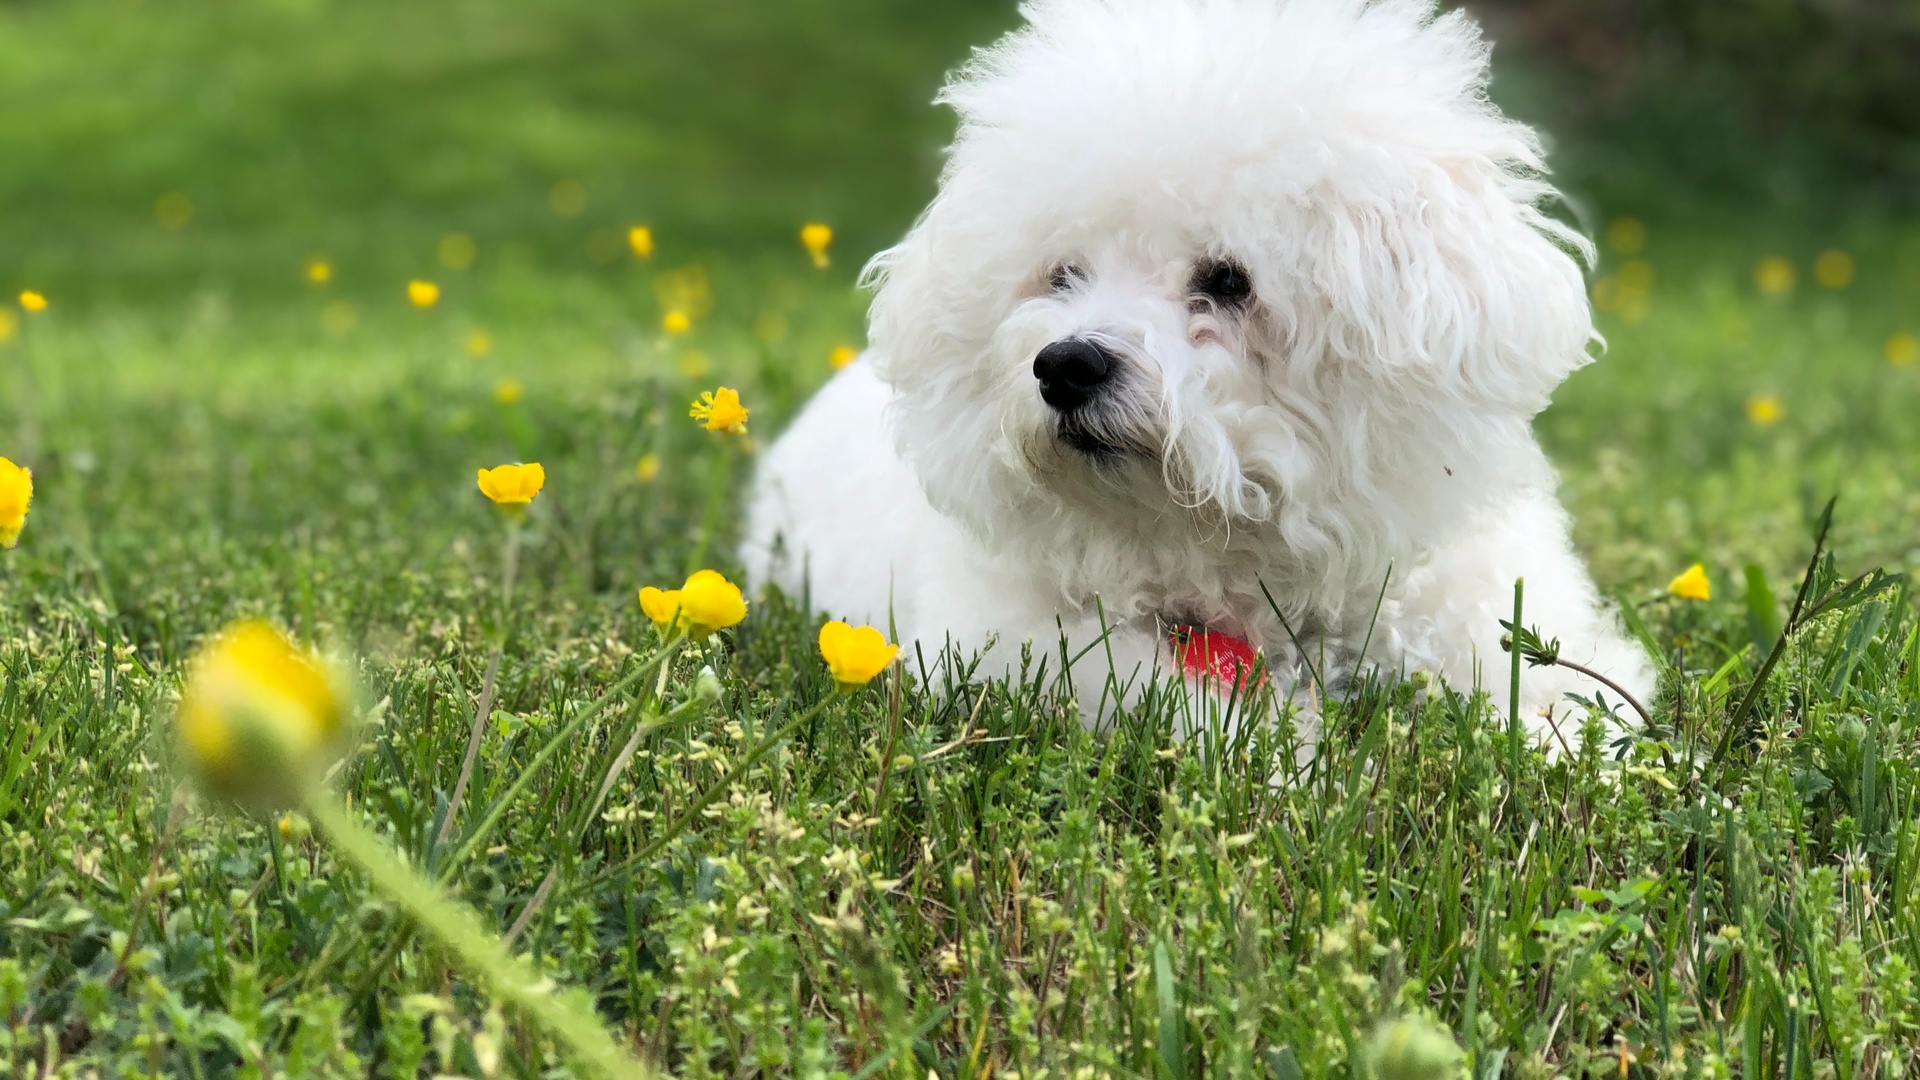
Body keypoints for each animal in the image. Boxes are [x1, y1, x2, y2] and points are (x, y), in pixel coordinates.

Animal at [733, 0, 1651, 737]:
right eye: (1063, 275)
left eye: (1228, 281)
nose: (1065, 366)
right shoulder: (1022, 644)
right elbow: (1168, 703)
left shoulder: (1472, 605)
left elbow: (1563, 697)